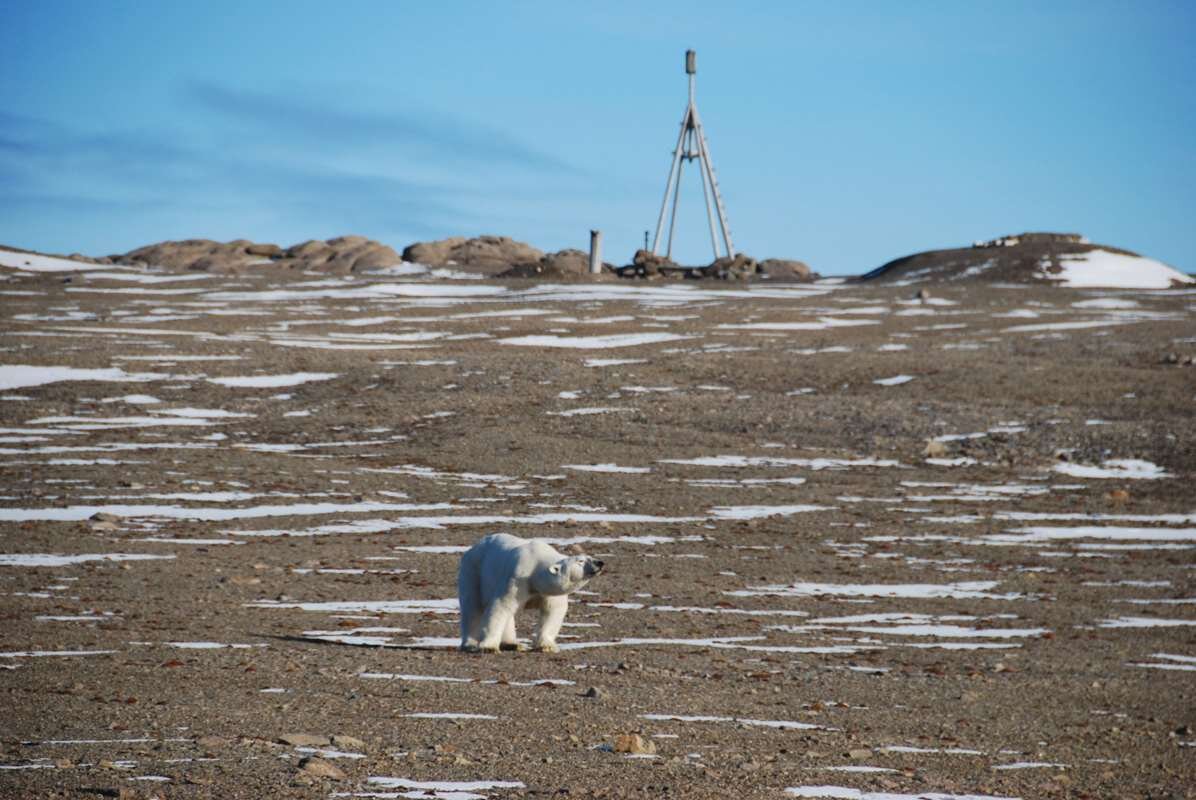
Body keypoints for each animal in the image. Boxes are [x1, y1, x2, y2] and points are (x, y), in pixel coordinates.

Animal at [456, 533, 607, 650]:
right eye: (580, 561)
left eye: (590, 557)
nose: (600, 563)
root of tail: (473, 547)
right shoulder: (518, 577)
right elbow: (501, 605)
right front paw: (488, 646)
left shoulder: (547, 591)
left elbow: (553, 610)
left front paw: (547, 646)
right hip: (473, 571)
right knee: (472, 606)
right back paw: (470, 643)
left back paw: (513, 644)